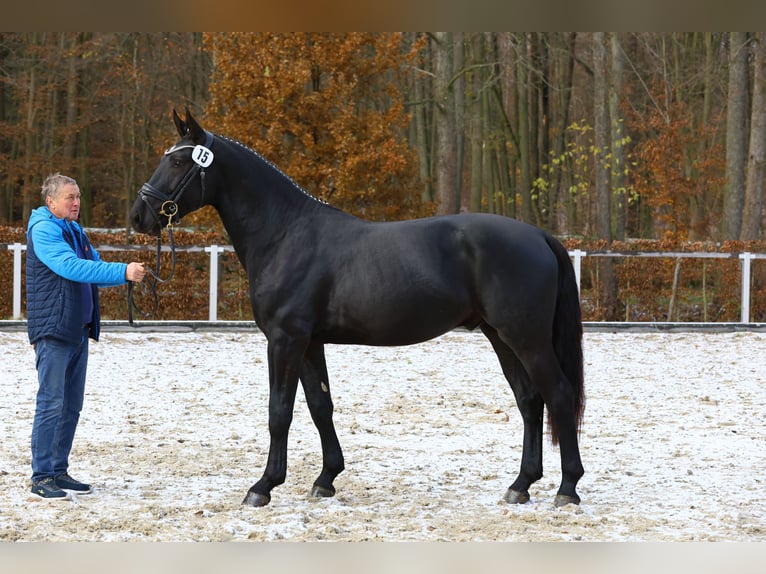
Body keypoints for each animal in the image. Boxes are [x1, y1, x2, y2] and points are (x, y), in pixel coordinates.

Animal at [132, 109, 588, 508]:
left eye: (177, 161)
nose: (139, 215)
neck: (286, 234)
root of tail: (539, 236)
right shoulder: (309, 343)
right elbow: (320, 407)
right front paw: (326, 479)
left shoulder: (284, 340)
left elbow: (279, 411)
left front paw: (263, 486)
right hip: (501, 337)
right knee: (529, 401)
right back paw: (521, 484)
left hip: (526, 339)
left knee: (558, 395)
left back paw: (567, 489)